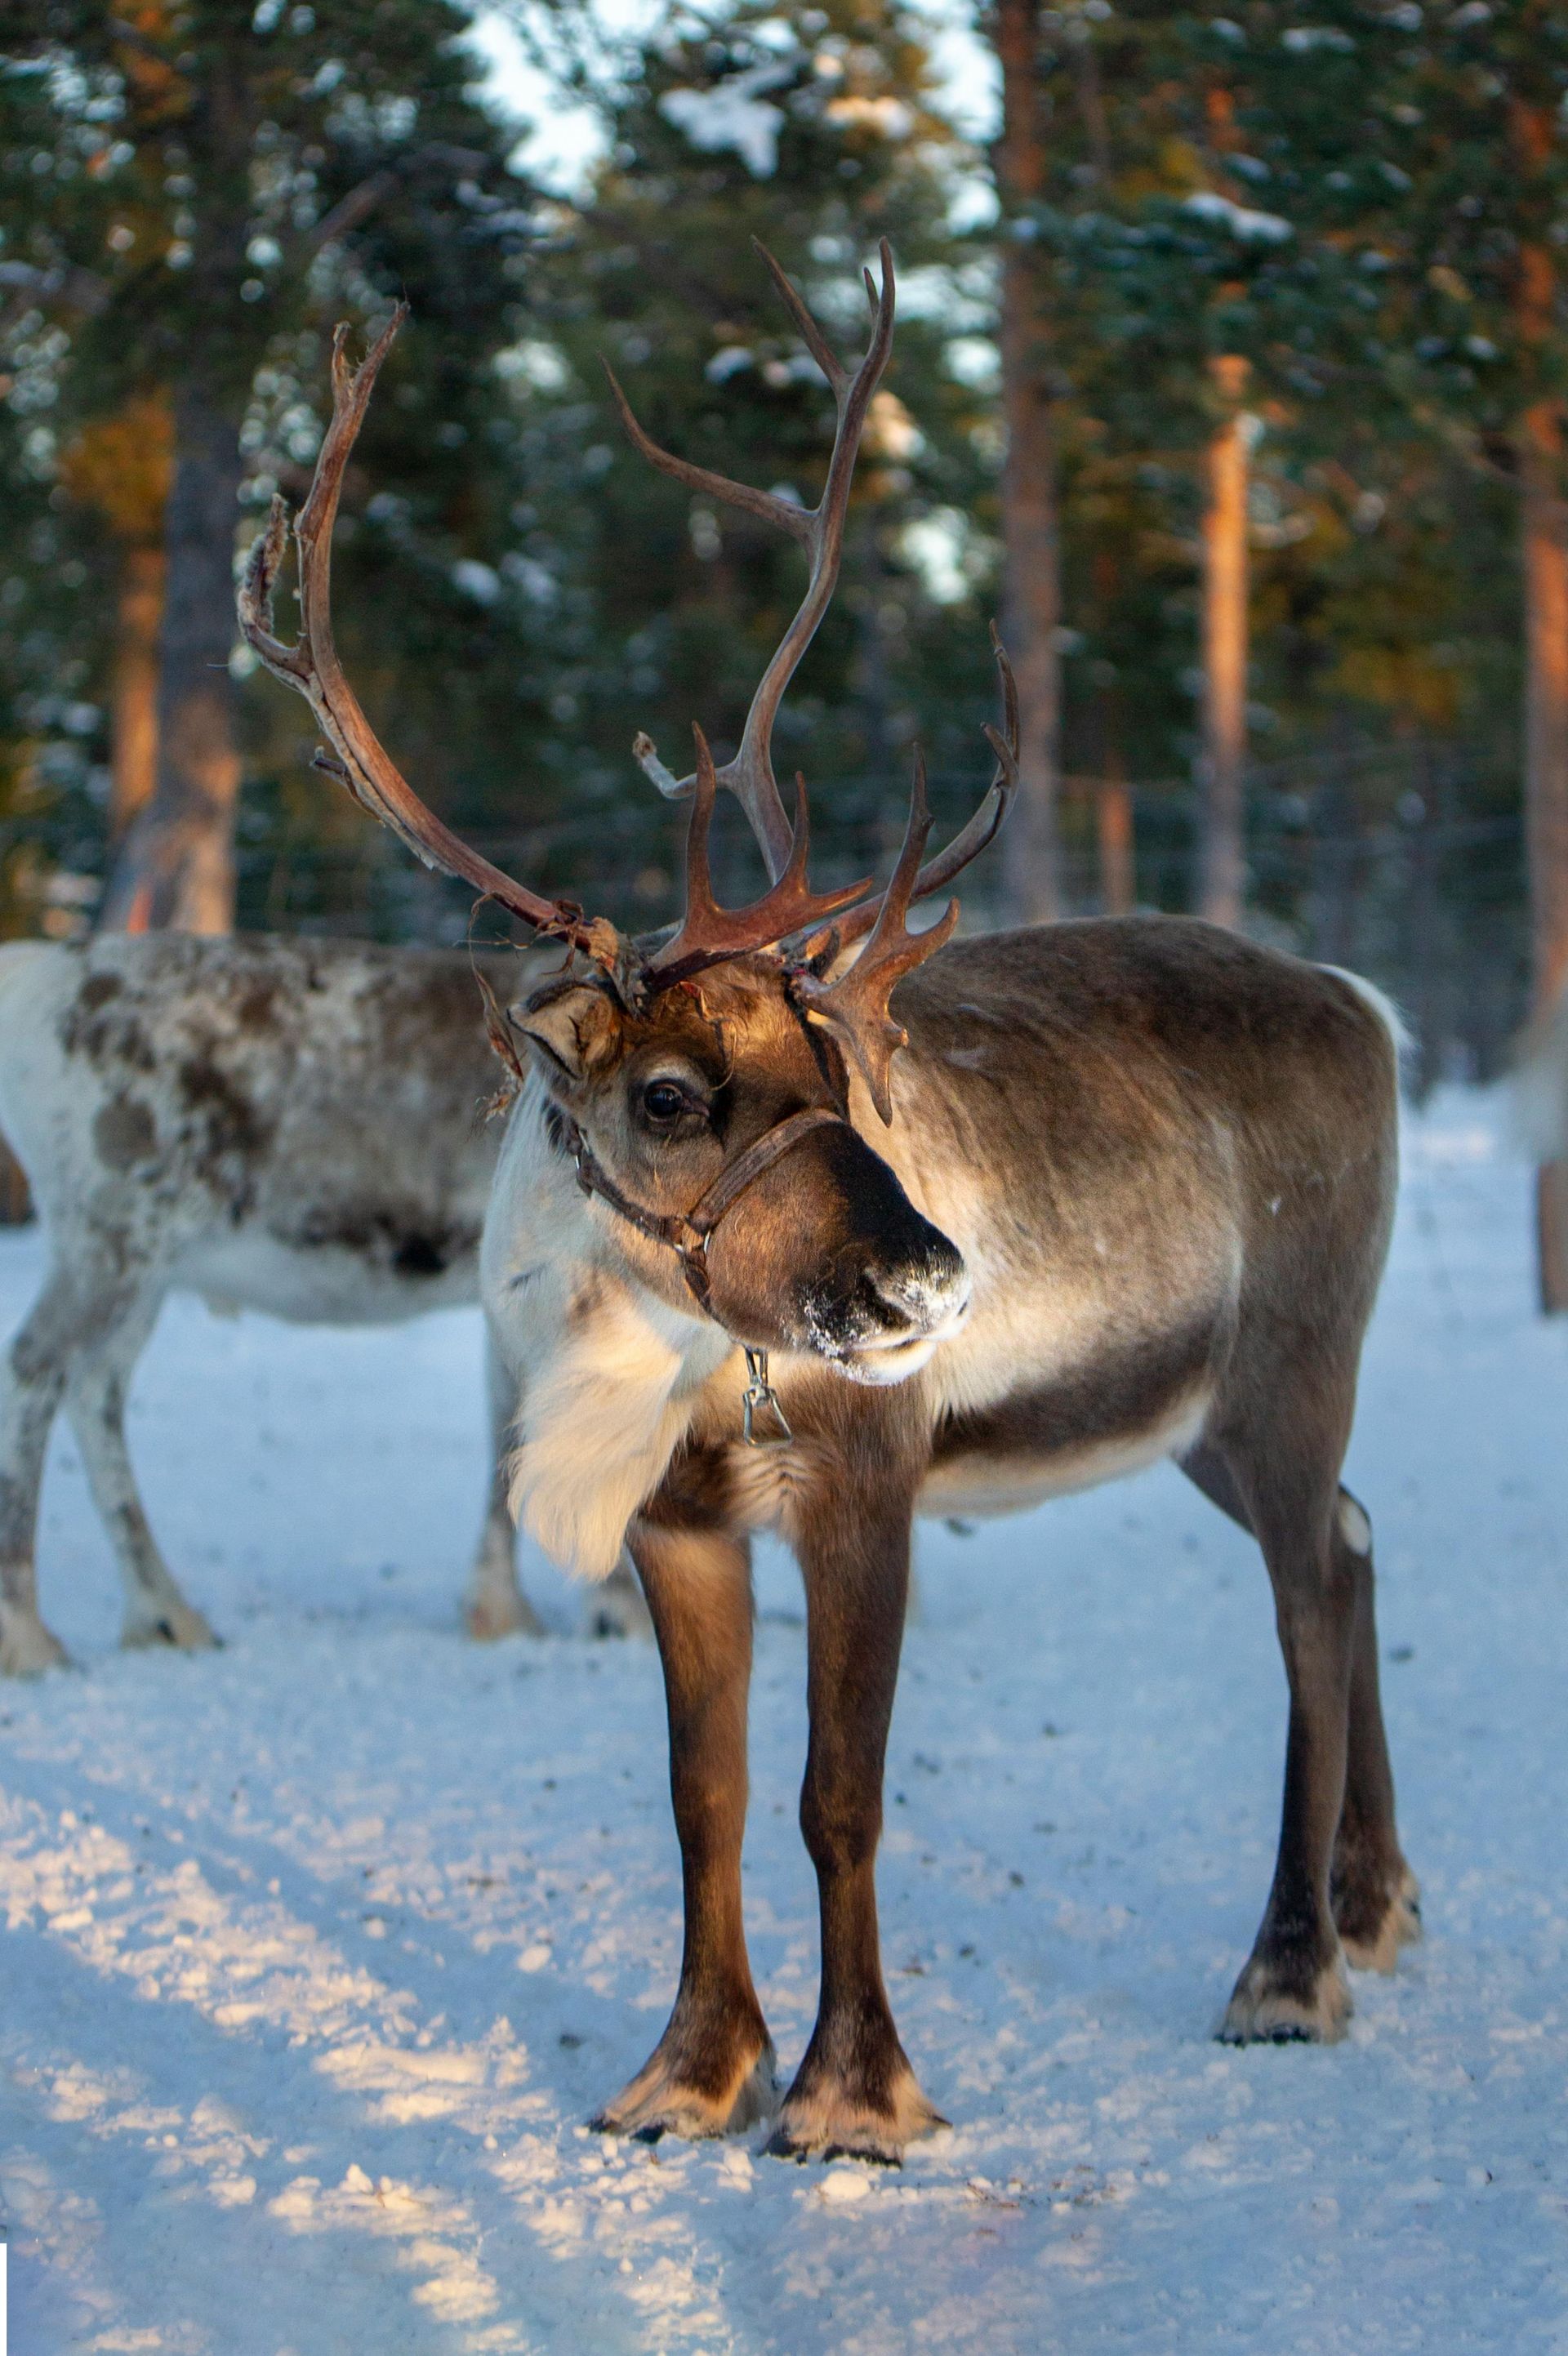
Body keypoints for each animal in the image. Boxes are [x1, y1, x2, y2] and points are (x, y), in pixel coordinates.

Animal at [0, 931, 645, 1673]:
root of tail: (34, 971)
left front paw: (502, 1610)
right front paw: (608, 1611)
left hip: (137, 1264)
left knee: (94, 1388)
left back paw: (165, 1615)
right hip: (108, 1236)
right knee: (33, 1367)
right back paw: (28, 1635)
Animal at [238, 241, 1419, 2163]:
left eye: (840, 1065)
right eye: (666, 1095)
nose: (930, 1277)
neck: (650, 1347)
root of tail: (1365, 1000)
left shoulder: (867, 1477)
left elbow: (835, 1795)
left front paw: (854, 2096)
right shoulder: (677, 1517)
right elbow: (702, 1797)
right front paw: (684, 2076)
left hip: (1294, 1361)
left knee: (1311, 1598)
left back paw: (1290, 1969)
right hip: (1198, 1416)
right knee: (1362, 1542)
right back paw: (1380, 1905)